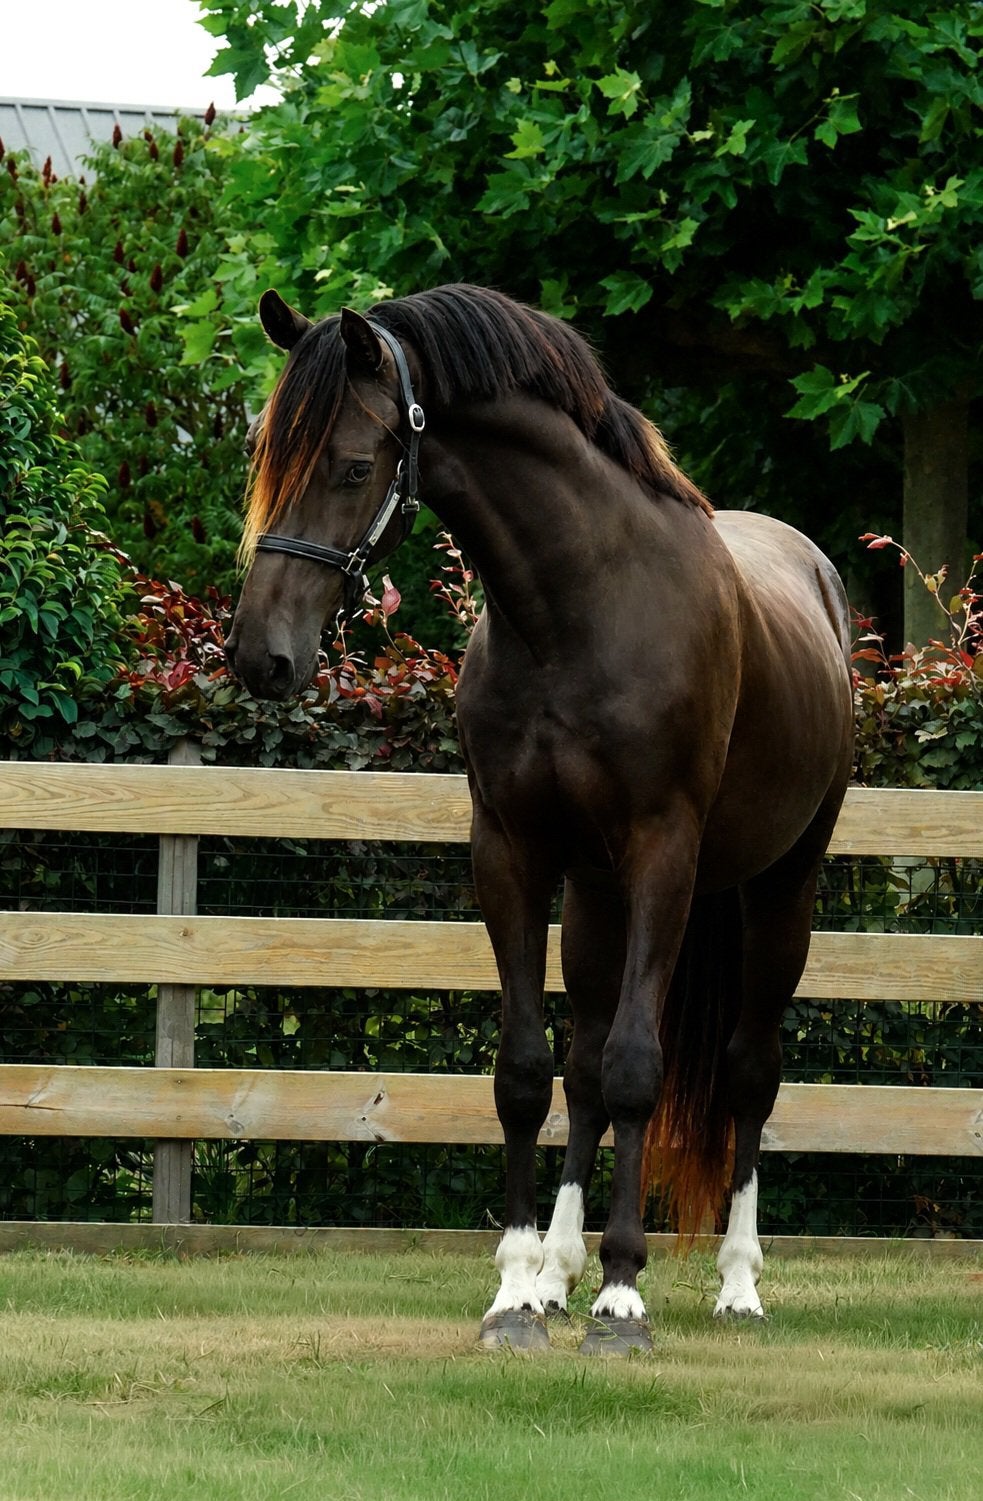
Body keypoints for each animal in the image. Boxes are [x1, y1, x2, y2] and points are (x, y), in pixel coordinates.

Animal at [225, 283, 854, 1354]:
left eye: (351, 465)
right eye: (265, 452)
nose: (259, 656)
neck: (579, 610)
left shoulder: (662, 855)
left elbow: (640, 1068)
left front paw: (624, 1296)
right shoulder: (512, 853)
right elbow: (530, 1069)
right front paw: (518, 1289)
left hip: (779, 890)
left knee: (745, 1073)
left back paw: (735, 1283)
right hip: (596, 894)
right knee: (586, 1067)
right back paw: (562, 1271)